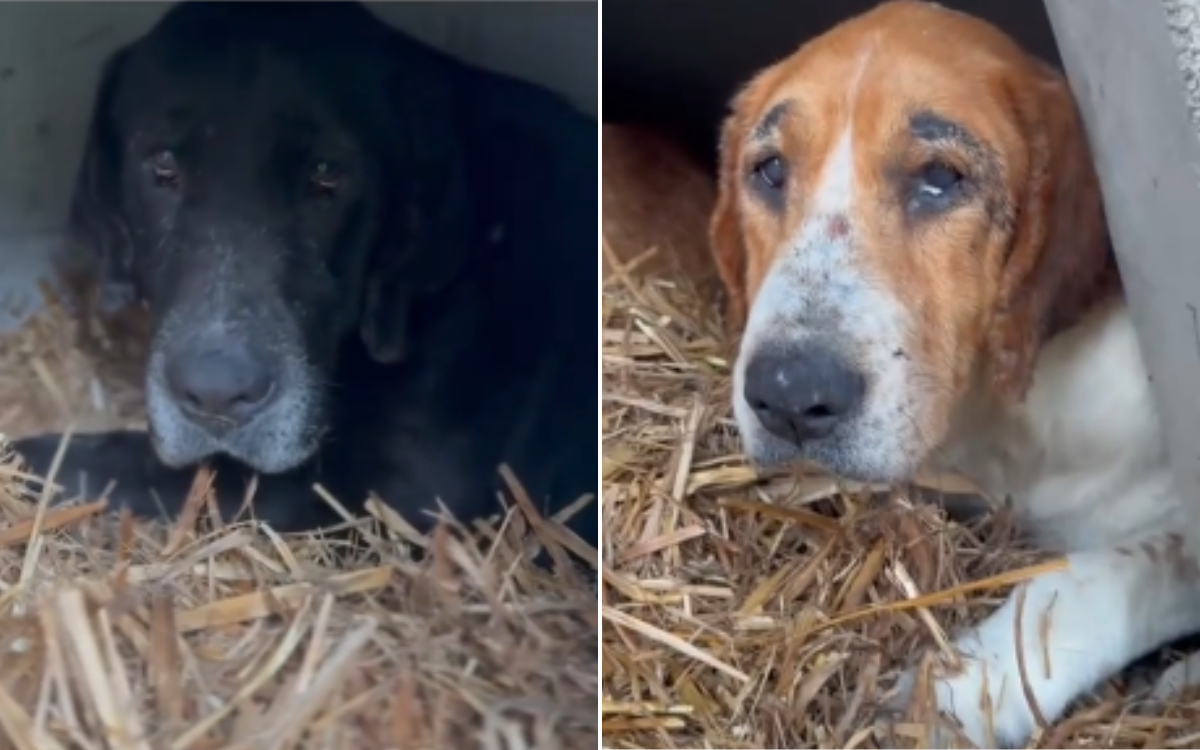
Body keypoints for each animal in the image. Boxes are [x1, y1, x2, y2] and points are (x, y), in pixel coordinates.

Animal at [715, 2, 1200, 744]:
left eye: (940, 179)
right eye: (770, 171)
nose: (789, 395)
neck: (1005, 424)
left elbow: (1082, 579)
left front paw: (959, 695)